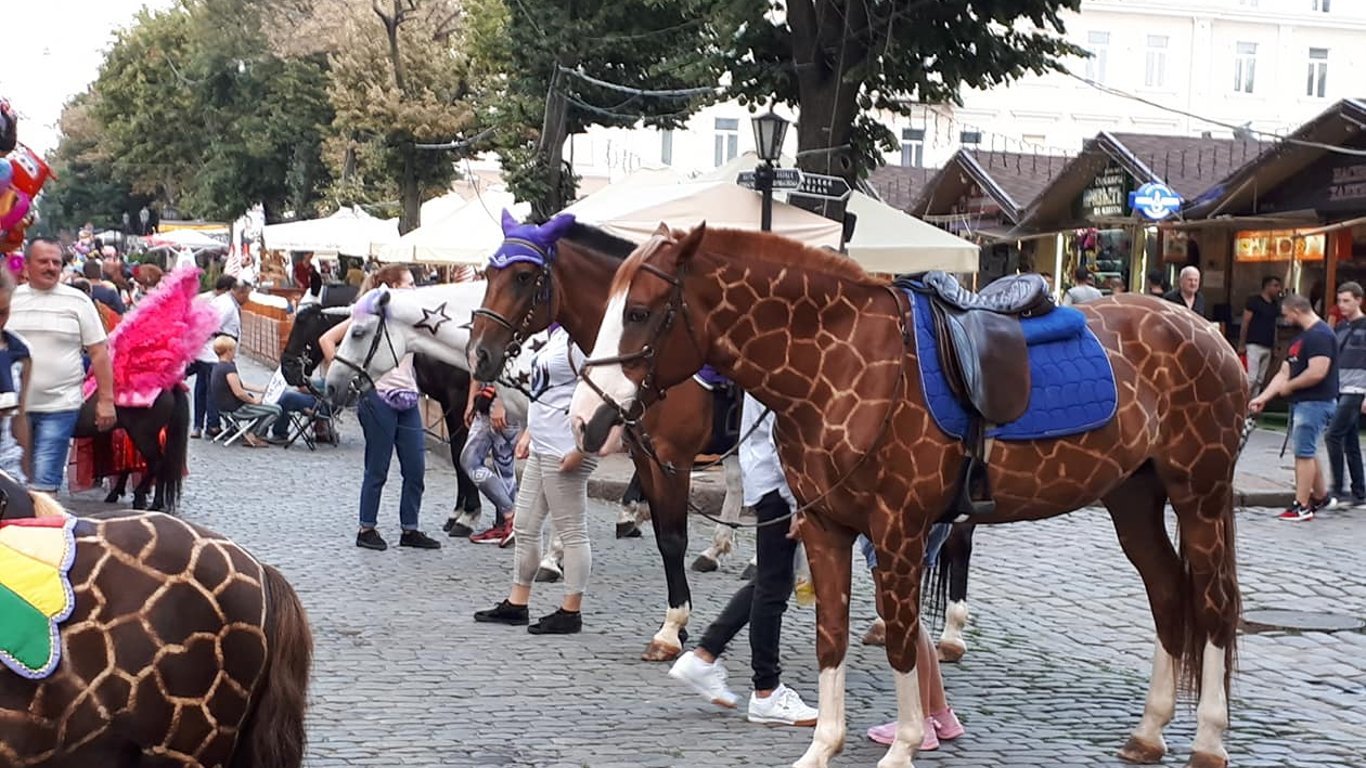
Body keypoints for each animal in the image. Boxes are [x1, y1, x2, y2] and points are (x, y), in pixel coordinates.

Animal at [475, 217, 737, 658]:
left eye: (524, 276)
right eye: (489, 273)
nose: (478, 353)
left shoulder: (673, 461)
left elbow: (673, 538)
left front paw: (672, 628)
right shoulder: (644, 455)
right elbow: (664, 536)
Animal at [570, 224, 1245, 765]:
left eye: (640, 312)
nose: (586, 420)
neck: (838, 365)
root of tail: (1206, 330)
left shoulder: (898, 530)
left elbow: (899, 639)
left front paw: (904, 745)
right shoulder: (825, 527)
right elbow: (832, 635)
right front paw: (823, 747)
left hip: (1201, 497)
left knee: (1212, 607)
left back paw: (1209, 740)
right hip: (1133, 498)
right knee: (1167, 595)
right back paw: (1150, 732)